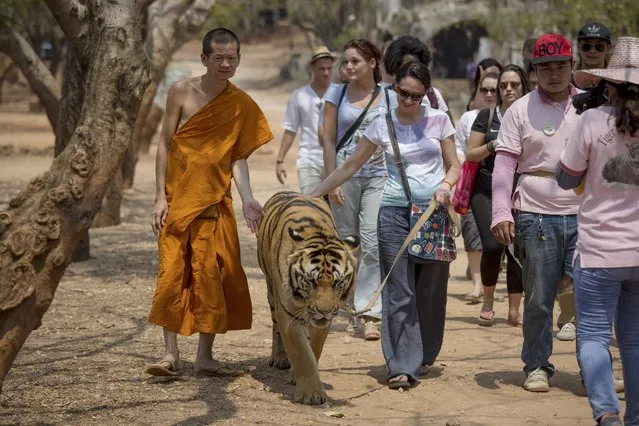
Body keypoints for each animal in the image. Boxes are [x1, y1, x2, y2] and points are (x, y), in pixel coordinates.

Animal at [258, 192, 360, 406]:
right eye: (311, 281)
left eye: (337, 282)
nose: (324, 311)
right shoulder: (288, 314)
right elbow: (302, 354)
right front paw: (310, 394)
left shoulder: (323, 323)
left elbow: (314, 349)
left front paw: (300, 378)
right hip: (272, 293)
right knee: (275, 326)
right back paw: (279, 358)